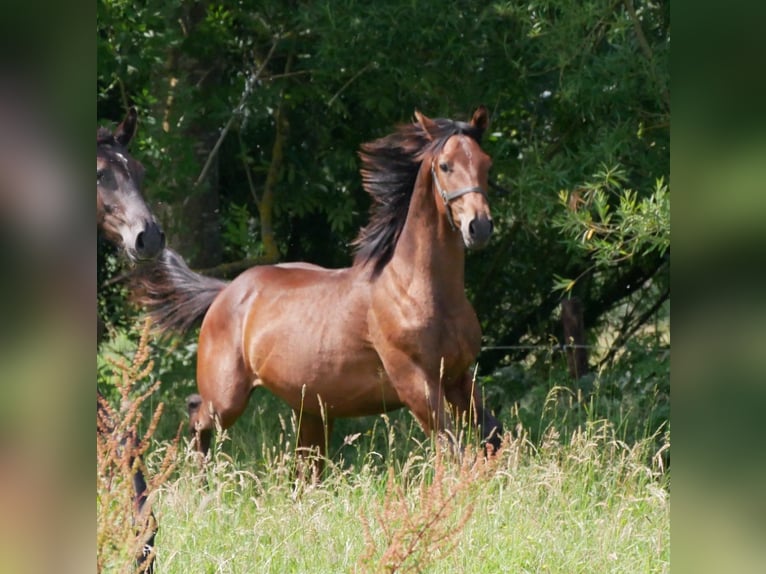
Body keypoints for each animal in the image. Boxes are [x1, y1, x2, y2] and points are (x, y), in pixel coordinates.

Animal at [135, 106, 503, 477]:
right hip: (227, 397)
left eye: (486, 163)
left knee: (304, 469)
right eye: (445, 165)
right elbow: (453, 449)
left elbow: (492, 436)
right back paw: (201, 477)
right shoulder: (415, 381)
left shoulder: (457, 377)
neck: (418, 289)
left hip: (310, 408)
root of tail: (226, 291)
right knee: (196, 414)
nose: (480, 226)